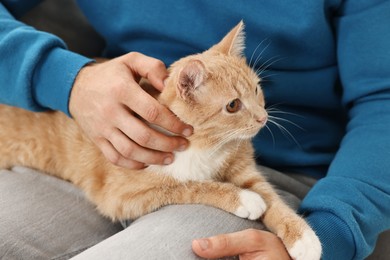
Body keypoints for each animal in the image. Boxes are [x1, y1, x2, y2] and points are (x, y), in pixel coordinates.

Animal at [0, 22, 320, 260]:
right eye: (232, 105)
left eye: (256, 90)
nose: (263, 118)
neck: (205, 147)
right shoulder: (123, 197)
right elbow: (187, 186)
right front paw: (242, 198)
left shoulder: (245, 169)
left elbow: (272, 198)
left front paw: (303, 238)